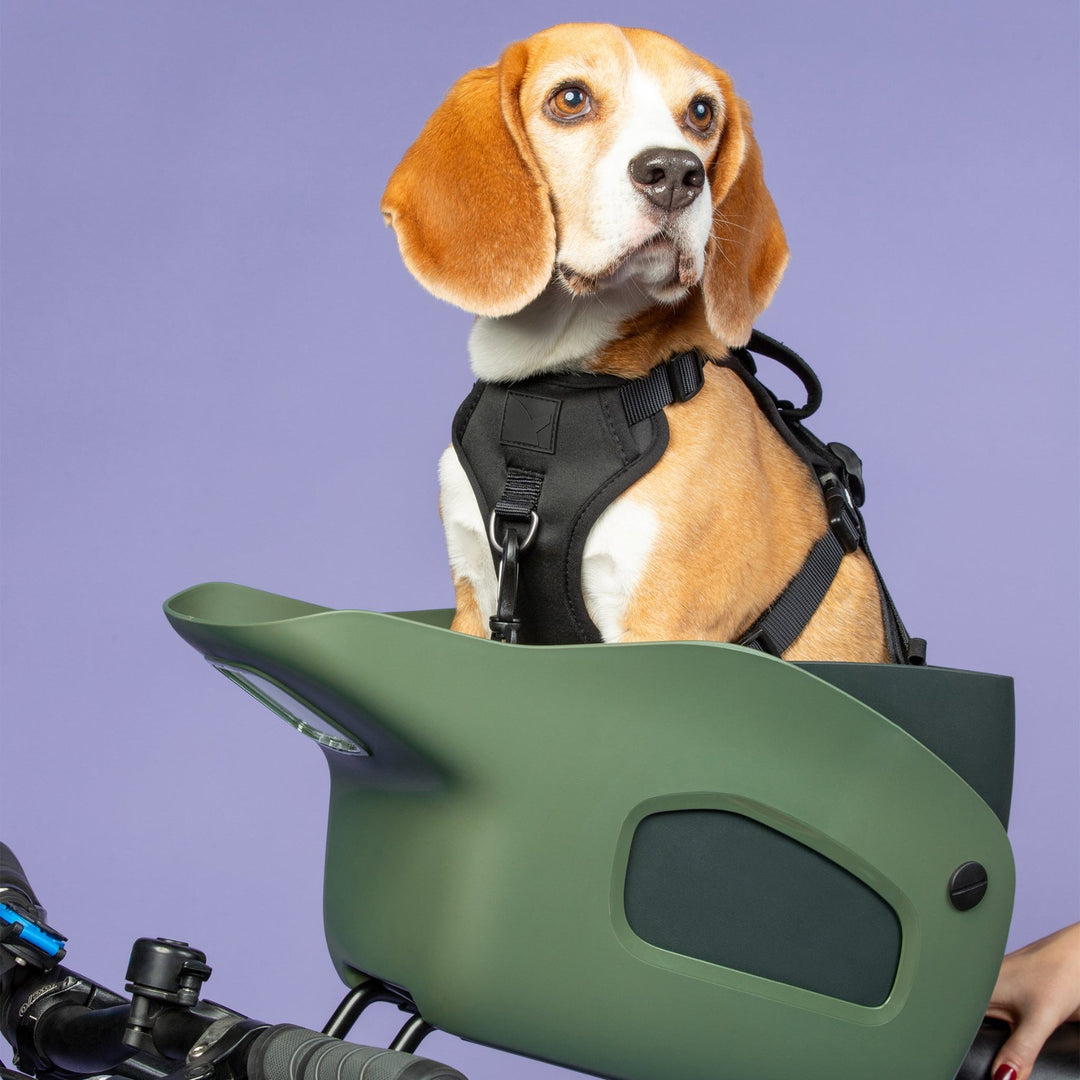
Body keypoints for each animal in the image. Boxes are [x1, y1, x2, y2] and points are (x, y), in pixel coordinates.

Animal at [384, 23, 889, 665]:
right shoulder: (476, 602)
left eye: (701, 112)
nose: (675, 172)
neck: (557, 383)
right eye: (571, 99)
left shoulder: (660, 625)